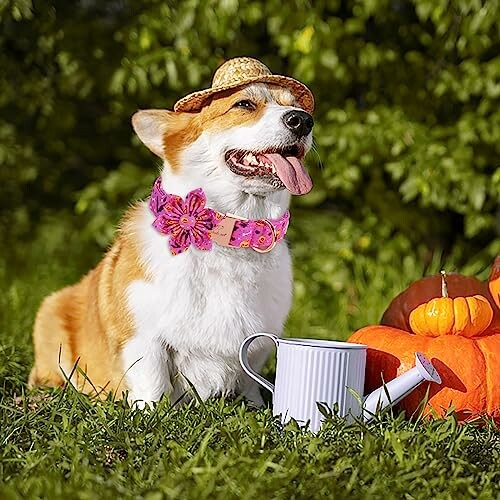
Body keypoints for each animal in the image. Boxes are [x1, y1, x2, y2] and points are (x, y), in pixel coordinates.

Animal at [29, 56, 312, 408]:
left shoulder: (258, 343)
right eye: (244, 104)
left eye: (294, 105)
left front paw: (257, 408)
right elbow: (154, 383)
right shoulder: (143, 338)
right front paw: (151, 413)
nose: (303, 121)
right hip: (51, 314)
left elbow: (249, 379)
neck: (231, 232)